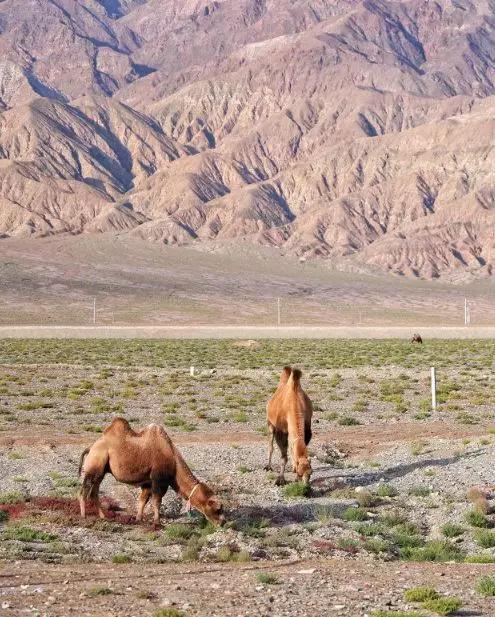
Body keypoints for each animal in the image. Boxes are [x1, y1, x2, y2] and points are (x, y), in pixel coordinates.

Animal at [78, 414, 226, 524]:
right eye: (217, 508)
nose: (223, 522)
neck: (173, 459)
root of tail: (90, 448)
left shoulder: (148, 481)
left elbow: (142, 500)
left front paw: (138, 518)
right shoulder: (159, 479)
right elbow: (157, 500)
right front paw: (157, 521)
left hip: (101, 471)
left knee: (94, 491)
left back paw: (103, 516)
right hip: (96, 463)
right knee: (85, 490)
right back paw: (84, 516)